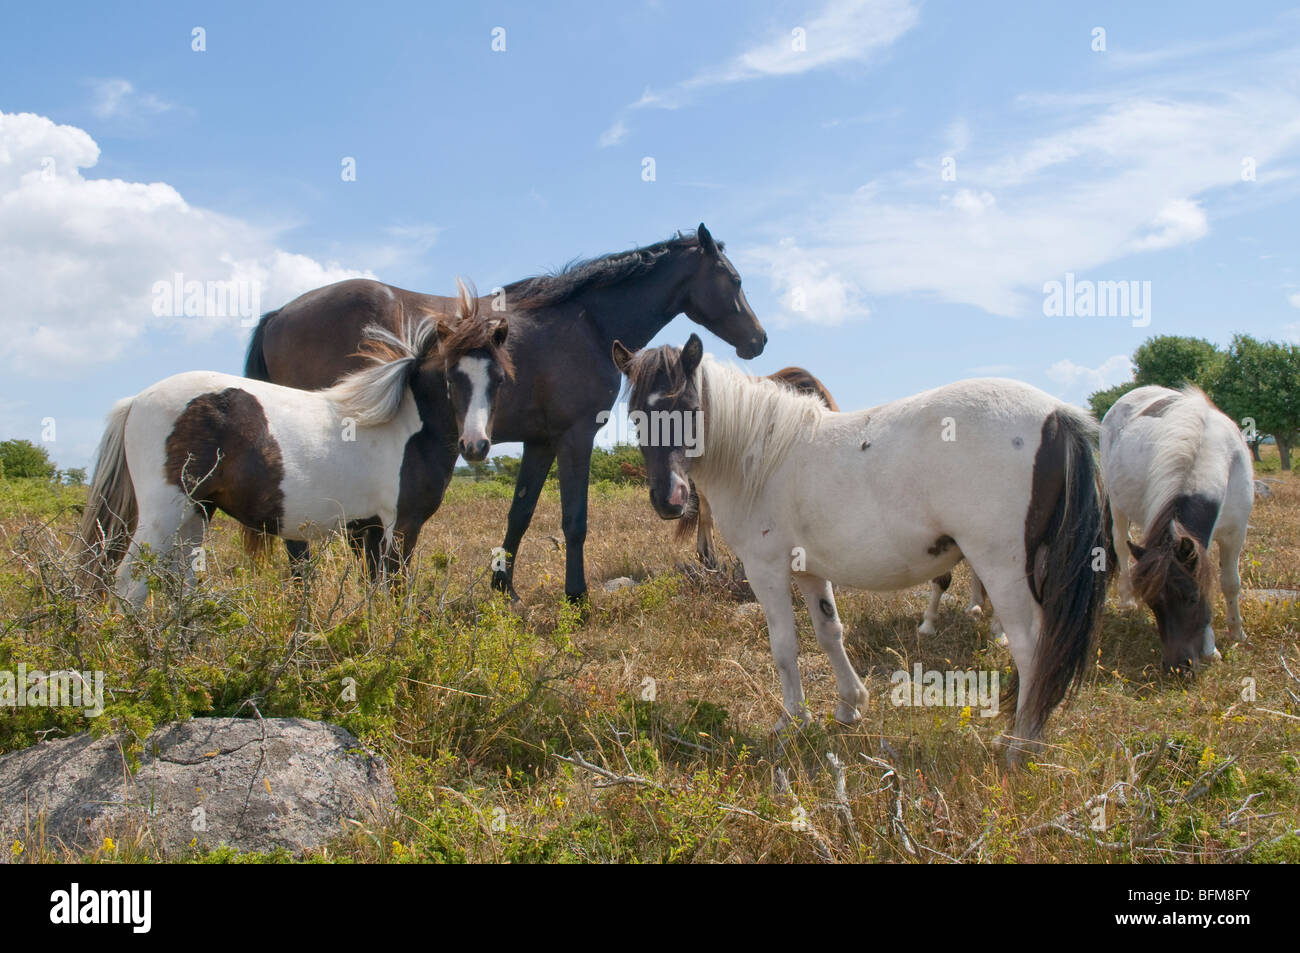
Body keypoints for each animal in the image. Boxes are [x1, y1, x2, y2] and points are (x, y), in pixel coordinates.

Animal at [81, 278, 512, 603]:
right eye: (451, 377)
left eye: (500, 380)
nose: (476, 446)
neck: (404, 427)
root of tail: (136, 400)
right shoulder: (399, 525)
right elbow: (393, 592)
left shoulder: (370, 528)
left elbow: (375, 592)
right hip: (163, 512)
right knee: (130, 582)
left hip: (196, 511)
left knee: (179, 580)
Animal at [245, 223, 759, 598]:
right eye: (734, 280)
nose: (759, 338)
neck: (585, 322)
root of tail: (279, 314)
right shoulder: (575, 436)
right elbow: (574, 520)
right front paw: (577, 597)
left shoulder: (541, 440)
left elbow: (521, 513)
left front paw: (502, 587)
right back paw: (306, 596)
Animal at [616, 330, 1107, 764]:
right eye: (636, 416)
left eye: (689, 407)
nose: (669, 499)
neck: (759, 457)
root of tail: (1055, 414)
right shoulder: (810, 570)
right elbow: (829, 633)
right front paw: (850, 705)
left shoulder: (765, 569)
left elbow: (784, 646)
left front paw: (792, 721)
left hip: (1002, 566)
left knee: (1030, 647)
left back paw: (1020, 746)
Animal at [1102, 384, 1253, 670]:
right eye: (1153, 604)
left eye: (1192, 599)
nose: (1177, 666)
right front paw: (1211, 648)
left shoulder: (1235, 534)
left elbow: (1230, 582)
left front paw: (1237, 632)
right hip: (1116, 503)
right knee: (1120, 544)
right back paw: (1127, 600)